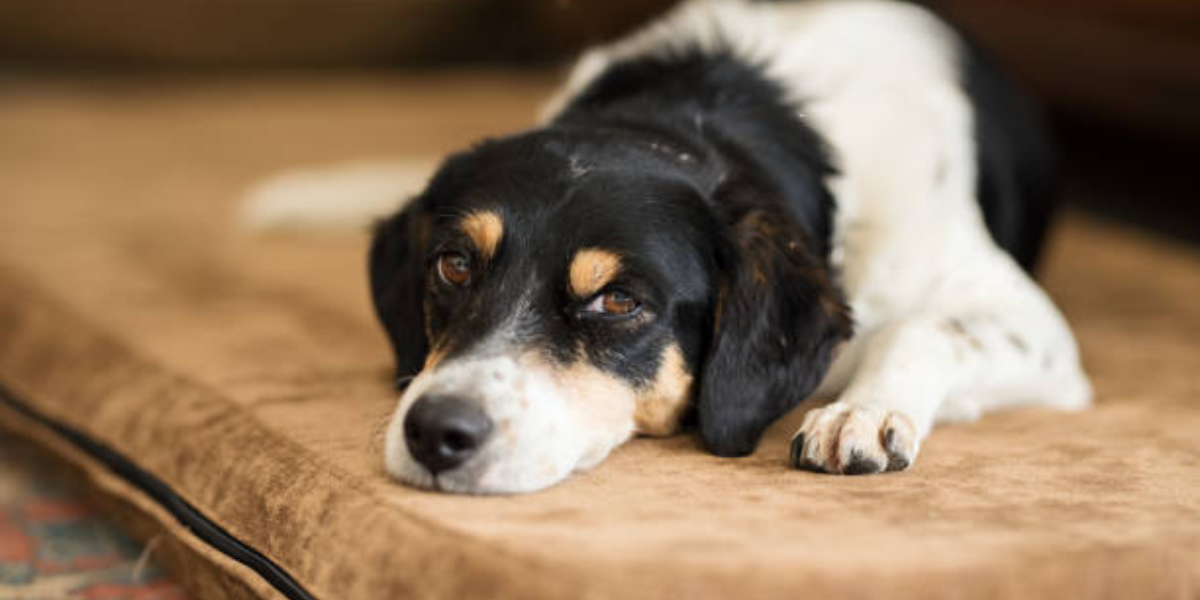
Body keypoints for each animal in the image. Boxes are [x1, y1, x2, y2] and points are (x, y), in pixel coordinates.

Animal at [241, 0, 1089, 494]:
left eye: (619, 301)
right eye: (454, 265)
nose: (435, 434)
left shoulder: (1038, 331)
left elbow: (921, 328)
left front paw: (864, 411)